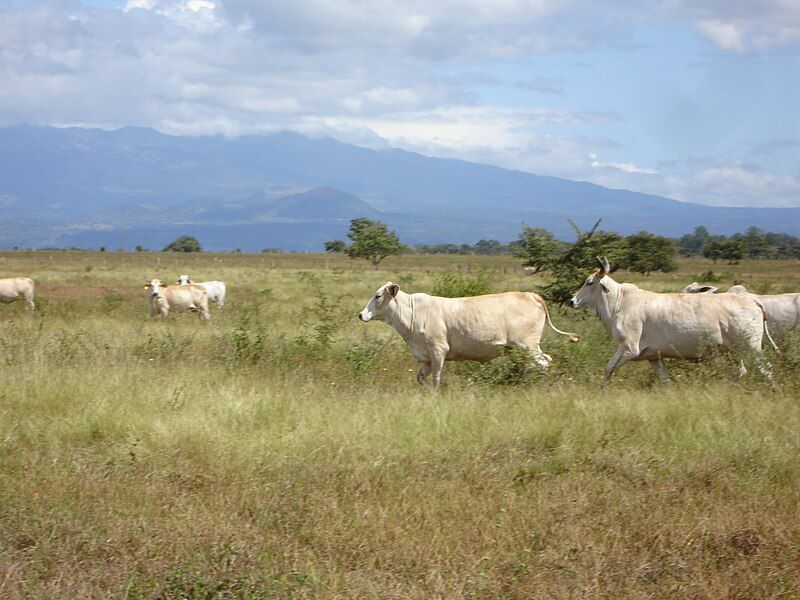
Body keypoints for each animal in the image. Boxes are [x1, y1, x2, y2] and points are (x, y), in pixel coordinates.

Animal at [360, 282, 580, 390]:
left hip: (528, 346)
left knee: (543, 363)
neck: (413, 313)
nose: (361, 314)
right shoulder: (426, 358)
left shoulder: (439, 350)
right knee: (543, 361)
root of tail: (529, 294)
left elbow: (437, 378)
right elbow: (421, 378)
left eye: (378, 296)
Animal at [572, 255, 780, 382]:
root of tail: (753, 300)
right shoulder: (653, 357)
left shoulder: (628, 349)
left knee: (766, 369)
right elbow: (666, 380)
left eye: (589, 282)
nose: (573, 300)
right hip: (733, 352)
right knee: (742, 372)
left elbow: (608, 369)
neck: (620, 303)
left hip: (750, 348)